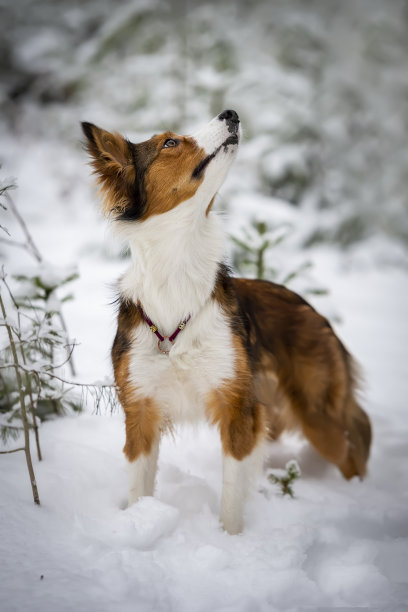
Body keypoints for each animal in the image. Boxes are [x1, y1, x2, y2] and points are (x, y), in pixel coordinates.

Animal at [81, 111, 372, 536]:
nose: (231, 113)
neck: (177, 275)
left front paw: (231, 540)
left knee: (353, 447)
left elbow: (232, 494)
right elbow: (139, 488)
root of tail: (310, 308)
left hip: (317, 415)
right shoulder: (141, 411)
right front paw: (140, 521)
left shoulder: (236, 407)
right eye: (170, 143)